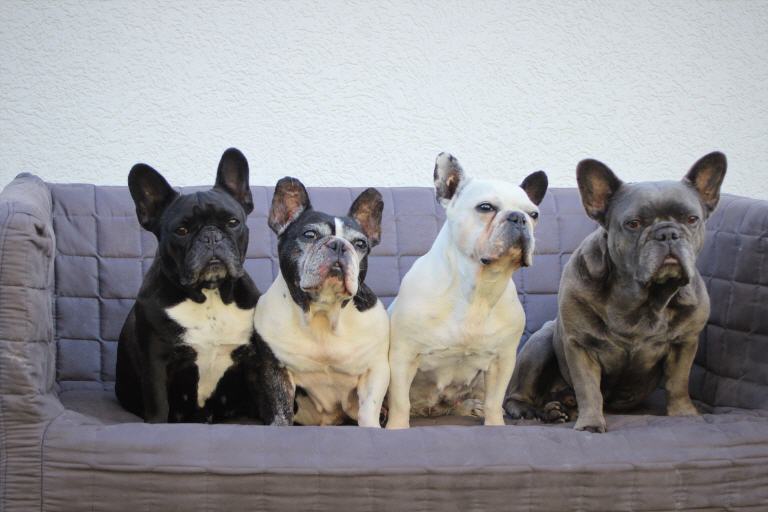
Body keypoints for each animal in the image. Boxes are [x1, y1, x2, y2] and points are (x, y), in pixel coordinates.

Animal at [115, 148, 291, 425]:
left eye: (232, 222)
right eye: (181, 230)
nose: (210, 236)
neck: (210, 294)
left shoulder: (255, 363)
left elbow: (269, 401)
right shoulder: (156, 364)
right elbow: (159, 409)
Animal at [253, 177, 389, 426]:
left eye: (360, 244)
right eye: (309, 235)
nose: (339, 245)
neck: (323, 312)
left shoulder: (376, 368)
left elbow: (369, 408)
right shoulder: (276, 370)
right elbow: (281, 409)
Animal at [386, 153, 548, 428]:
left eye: (534, 214)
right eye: (485, 207)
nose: (518, 217)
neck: (479, 289)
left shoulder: (502, 361)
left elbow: (495, 400)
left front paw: (495, 425)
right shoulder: (402, 356)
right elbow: (400, 402)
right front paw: (396, 427)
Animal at [504, 152, 727, 432]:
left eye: (691, 219)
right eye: (633, 224)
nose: (667, 233)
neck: (641, 296)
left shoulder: (684, 343)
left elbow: (678, 382)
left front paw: (684, 415)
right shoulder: (581, 346)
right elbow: (589, 388)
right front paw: (590, 424)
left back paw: (558, 409)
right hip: (540, 342)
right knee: (518, 392)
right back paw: (532, 409)